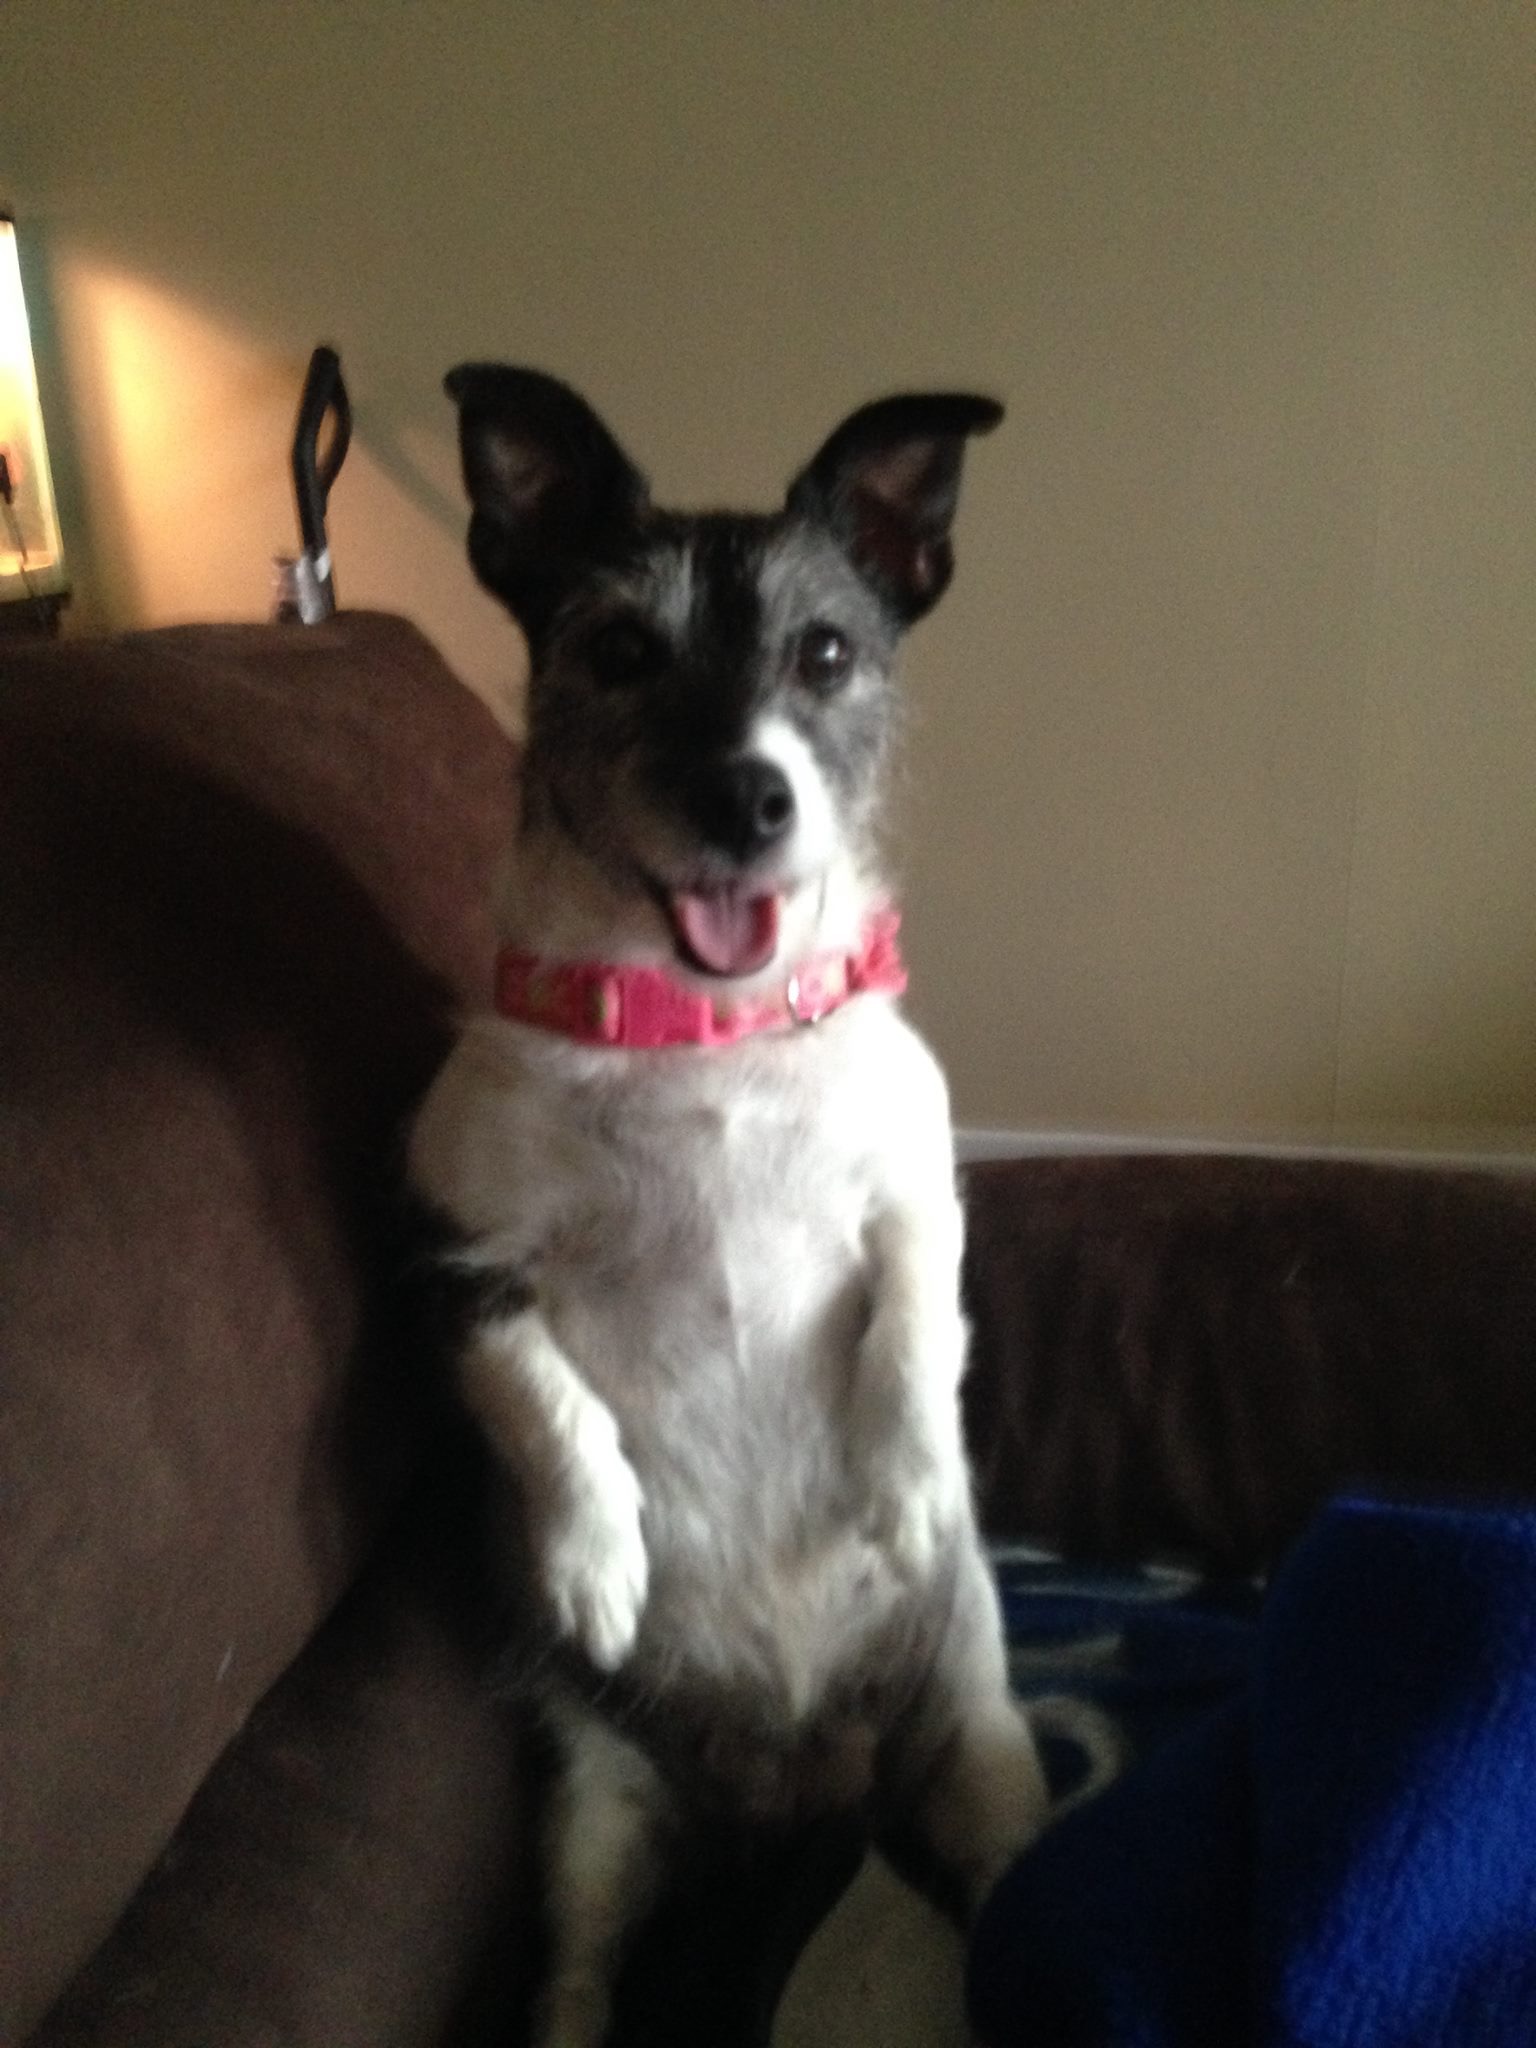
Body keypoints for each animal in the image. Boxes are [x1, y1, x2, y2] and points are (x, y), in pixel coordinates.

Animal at [409, 366, 1052, 2046]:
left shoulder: (918, 1192)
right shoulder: (459, 1258)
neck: (706, 1030)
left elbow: (915, 1325)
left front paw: (910, 1480)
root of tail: (793, 1801)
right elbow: (543, 1394)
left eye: (826, 652)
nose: (746, 797)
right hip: (595, 1816)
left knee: (1005, 1896)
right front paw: (594, 1556)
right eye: (621, 652)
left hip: (974, 1751)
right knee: (575, 1983)